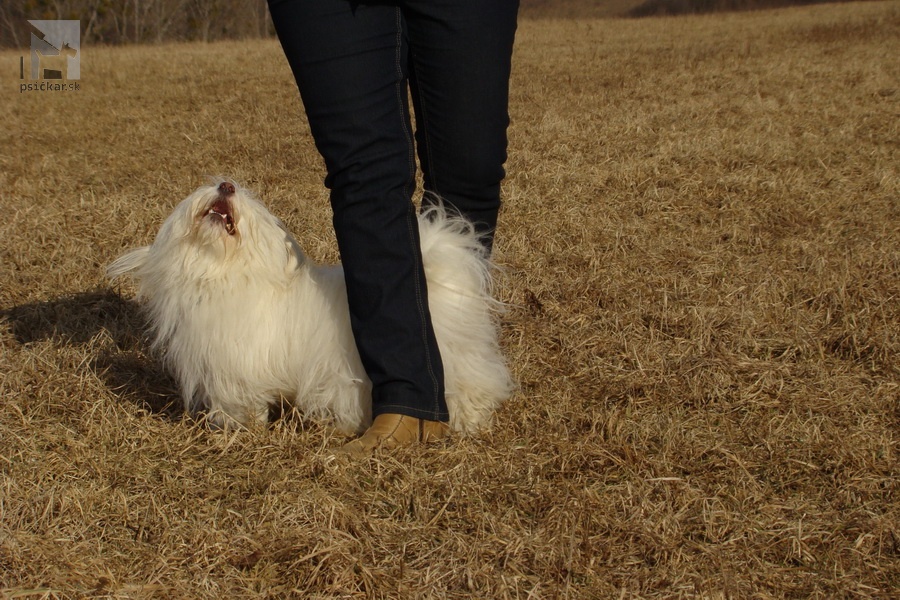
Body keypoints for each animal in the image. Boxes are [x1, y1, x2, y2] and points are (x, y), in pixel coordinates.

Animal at [109, 180, 510, 434]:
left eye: (249, 205)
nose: (225, 186)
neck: (219, 269)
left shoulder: (235, 365)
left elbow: (239, 399)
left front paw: (237, 426)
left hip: (450, 359)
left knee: (473, 387)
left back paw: (468, 422)